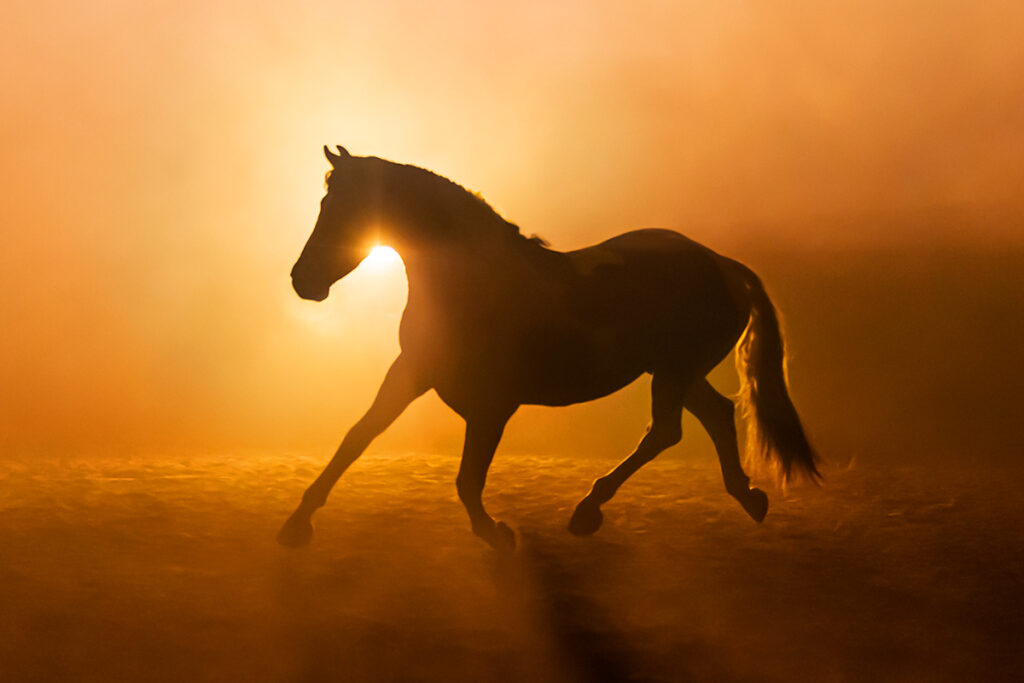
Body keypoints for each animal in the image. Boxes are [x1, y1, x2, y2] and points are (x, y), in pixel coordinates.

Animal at [278, 145, 819, 552]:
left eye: (342, 209)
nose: (303, 281)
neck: (470, 284)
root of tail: (722, 264)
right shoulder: (411, 372)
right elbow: (357, 437)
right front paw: (297, 524)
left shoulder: (493, 406)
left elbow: (467, 480)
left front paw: (496, 534)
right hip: (674, 371)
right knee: (717, 414)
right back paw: (748, 498)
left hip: (673, 372)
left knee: (666, 432)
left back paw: (588, 510)